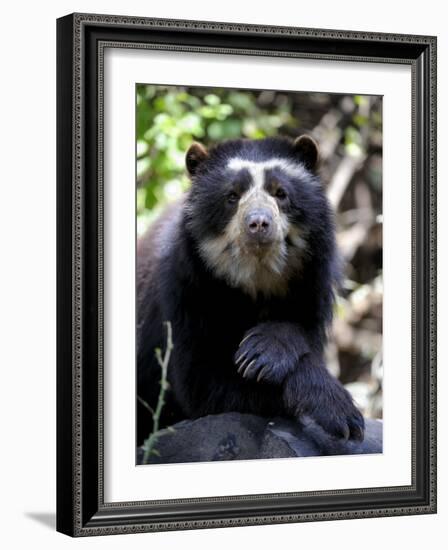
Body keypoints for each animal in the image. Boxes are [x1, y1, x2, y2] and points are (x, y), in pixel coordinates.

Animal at [136, 136, 364, 450]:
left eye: (281, 193)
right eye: (232, 196)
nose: (258, 223)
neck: (256, 277)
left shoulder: (312, 283)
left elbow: (299, 328)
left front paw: (263, 350)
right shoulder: (186, 290)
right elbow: (204, 383)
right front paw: (341, 412)